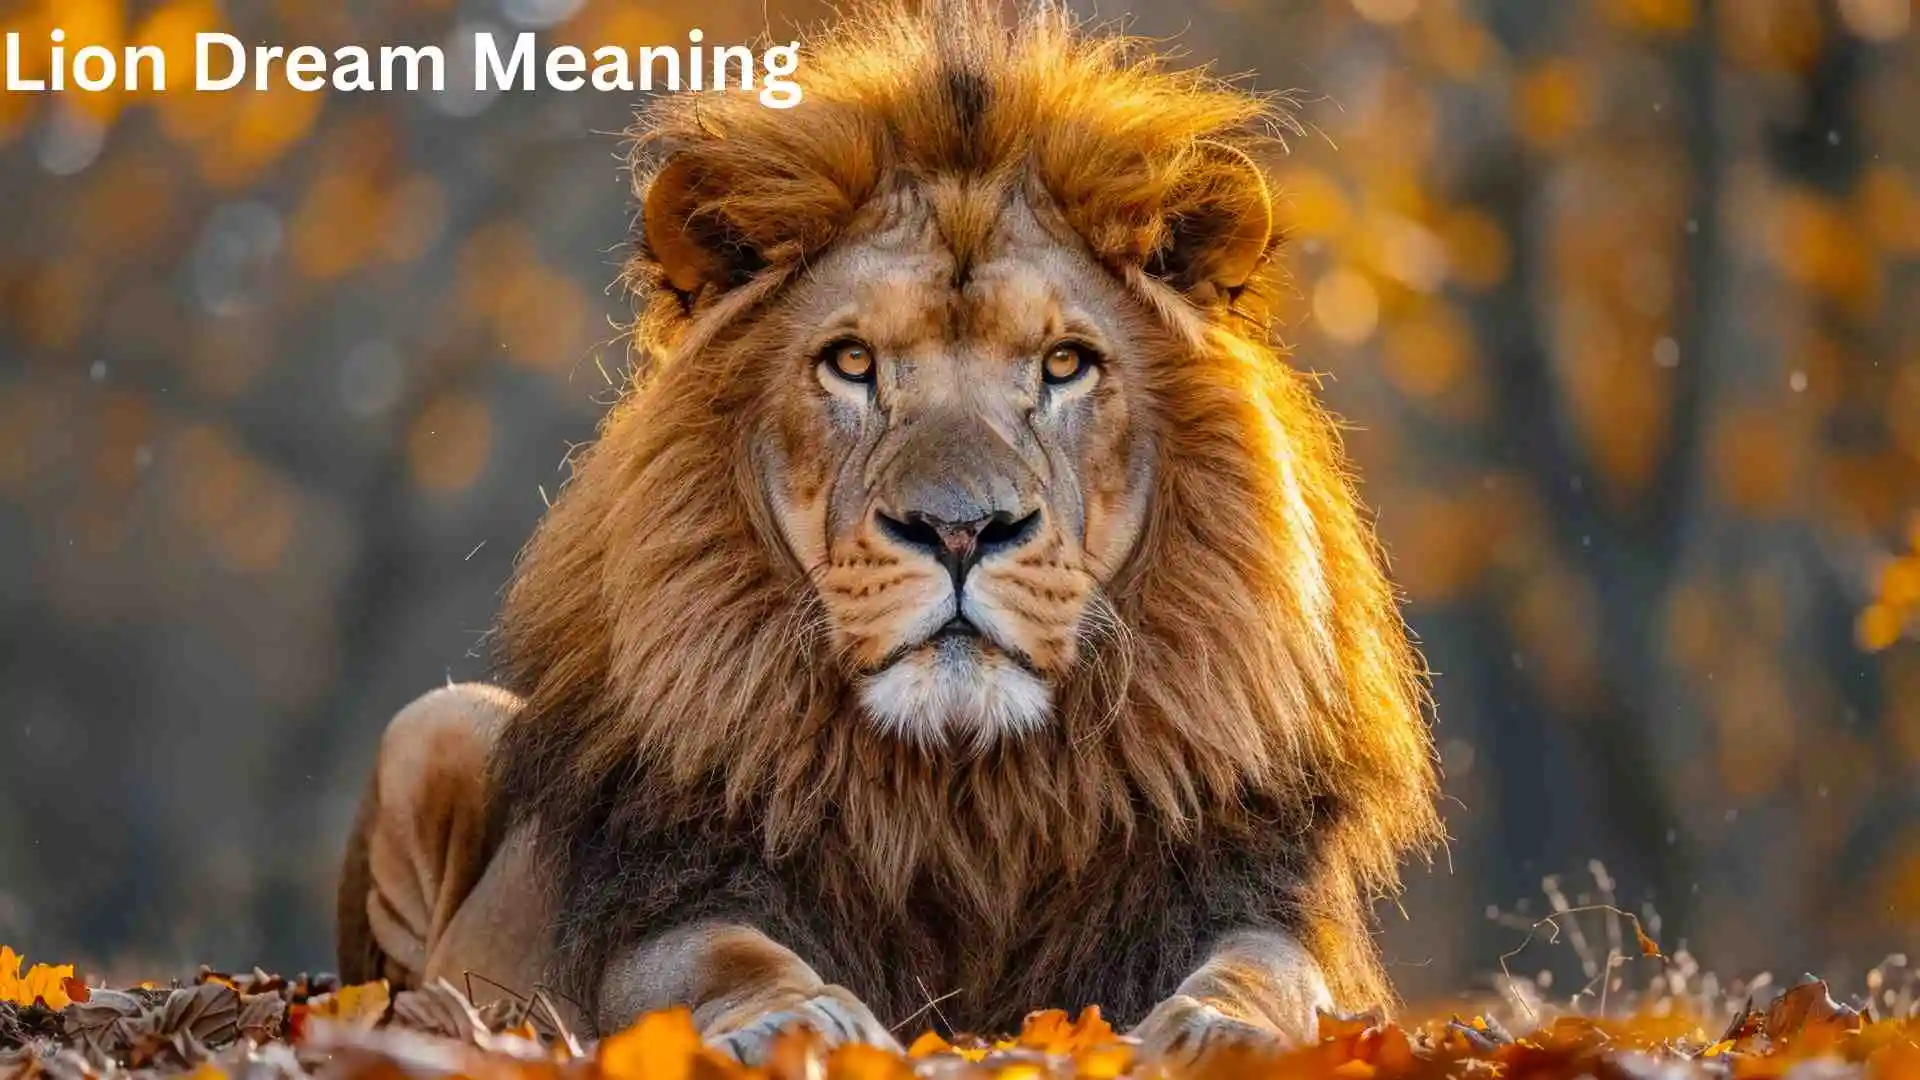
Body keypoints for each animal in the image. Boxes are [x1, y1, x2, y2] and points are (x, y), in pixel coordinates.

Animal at [336, 0, 1443, 1066]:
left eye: (1065, 363)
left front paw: (1225, 1031)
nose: (958, 530)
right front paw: (798, 1022)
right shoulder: (673, 891)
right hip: (438, 724)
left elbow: (1271, 976)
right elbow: (721, 961)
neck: (963, 792)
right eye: (853, 362)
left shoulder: (1240, 885)